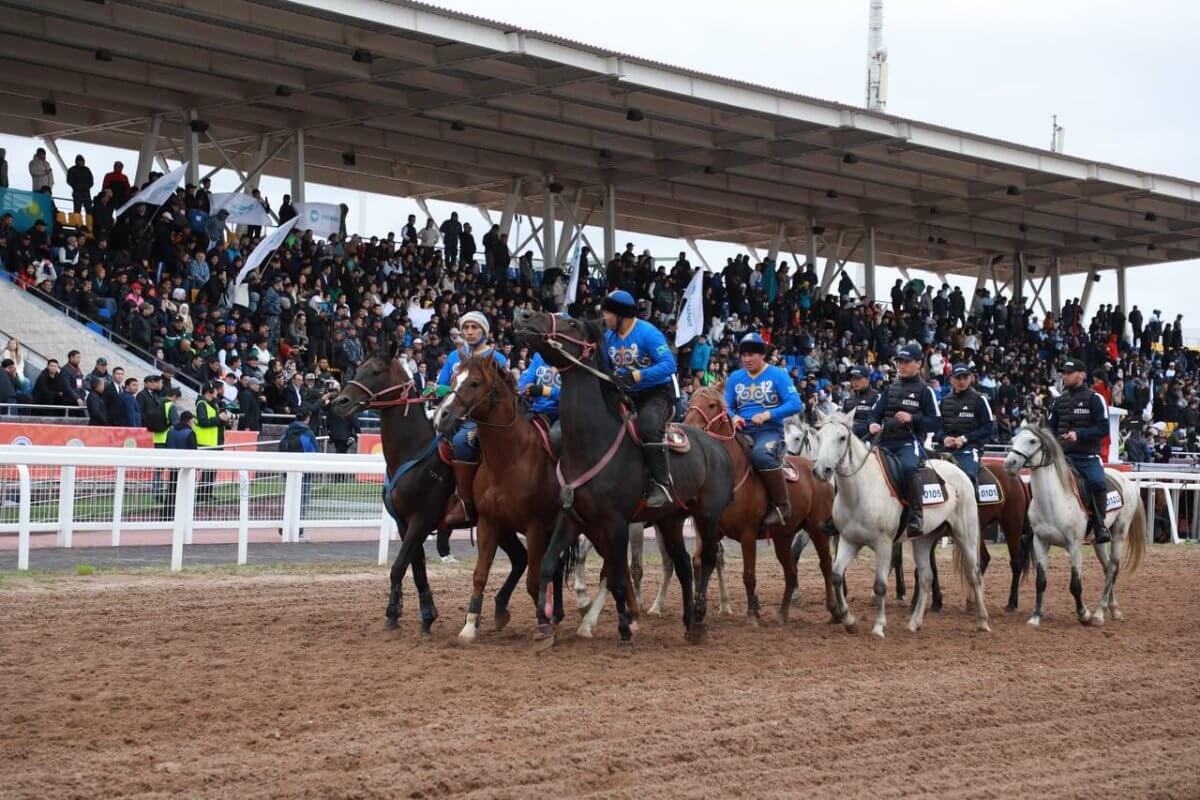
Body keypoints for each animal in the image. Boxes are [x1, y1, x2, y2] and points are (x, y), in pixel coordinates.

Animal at [331, 345, 523, 638]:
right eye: (359, 367)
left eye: (376, 371)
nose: (341, 402)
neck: (413, 451)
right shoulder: (405, 524)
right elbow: (417, 569)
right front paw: (426, 616)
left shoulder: (422, 520)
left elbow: (398, 567)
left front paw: (393, 612)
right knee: (521, 560)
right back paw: (497, 610)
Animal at [513, 309, 734, 647]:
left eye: (572, 323)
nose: (524, 315)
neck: (591, 443)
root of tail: (717, 447)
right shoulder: (571, 517)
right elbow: (549, 564)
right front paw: (543, 627)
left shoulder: (616, 523)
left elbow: (617, 575)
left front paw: (625, 629)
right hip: (670, 520)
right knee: (684, 565)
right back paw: (687, 622)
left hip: (707, 515)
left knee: (707, 558)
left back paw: (698, 619)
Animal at [681, 383, 840, 623]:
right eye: (690, 403)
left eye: (712, 404)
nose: (689, 427)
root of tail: (818, 471)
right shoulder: (711, 531)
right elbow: (700, 562)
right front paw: (700, 610)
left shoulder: (748, 534)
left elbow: (749, 575)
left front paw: (752, 615)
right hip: (783, 536)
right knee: (791, 572)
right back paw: (782, 613)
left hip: (817, 529)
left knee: (826, 565)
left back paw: (834, 610)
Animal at [811, 412, 988, 638]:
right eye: (818, 436)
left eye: (842, 438)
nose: (821, 470)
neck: (860, 491)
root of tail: (959, 472)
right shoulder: (849, 540)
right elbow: (836, 576)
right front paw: (849, 621)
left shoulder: (884, 544)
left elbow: (880, 585)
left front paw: (878, 626)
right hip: (923, 539)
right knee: (926, 577)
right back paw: (915, 623)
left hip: (965, 534)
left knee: (974, 574)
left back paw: (982, 621)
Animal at [998, 424, 1147, 623]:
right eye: (1013, 440)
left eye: (1032, 440)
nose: (1009, 464)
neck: (1054, 501)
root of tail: (1124, 479)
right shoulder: (1040, 543)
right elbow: (1041, 582)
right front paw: (1036, 617)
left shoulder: (1074, 546)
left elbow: (1075, 584)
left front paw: (1084, 614)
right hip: (1098, 542)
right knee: (1107, 567)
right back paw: (1113, 609)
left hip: (1119, 535)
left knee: (1113, 569)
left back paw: (1099, 613)